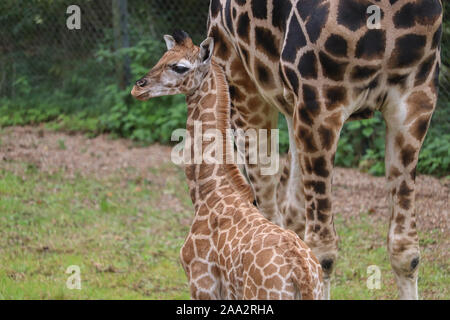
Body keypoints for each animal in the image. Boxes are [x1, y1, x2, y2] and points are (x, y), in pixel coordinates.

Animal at [132, 30, 322, 300]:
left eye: (179, 67)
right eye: (162, 57)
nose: (138, 88)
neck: (209, 191)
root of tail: (301, 273)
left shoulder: (202, 285)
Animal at [207, 0, 442, 300]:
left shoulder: (416, 99)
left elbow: (407, 251)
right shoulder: (319, 103)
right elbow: (324, 254)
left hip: (290, 109)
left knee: (291, 214)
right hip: (243, 85)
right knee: (267, 208)